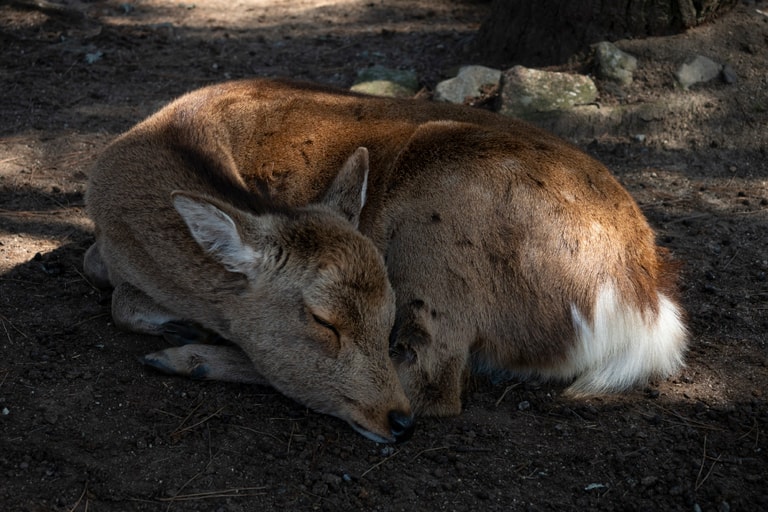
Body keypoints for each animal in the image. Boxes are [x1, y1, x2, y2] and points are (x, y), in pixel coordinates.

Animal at [85, 78, 688, 442]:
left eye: (383, 315)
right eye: (322, 320)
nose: (394, 423)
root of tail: (643, 304)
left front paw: (183, 334)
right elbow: (99, 270)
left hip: (441, 231)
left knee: (433, 382)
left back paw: (188, 356)